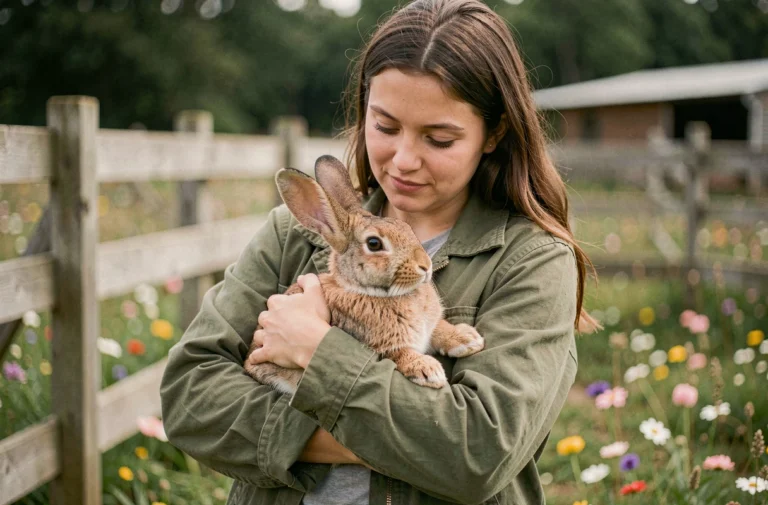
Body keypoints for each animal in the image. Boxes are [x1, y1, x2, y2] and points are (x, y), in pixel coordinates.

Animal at [244, 155, 485, 395]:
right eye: (374, 243)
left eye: (407, 227)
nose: (425, 266)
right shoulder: (378, 347)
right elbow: (398, 354)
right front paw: (428, 370)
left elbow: (438, 329)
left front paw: (467, 338)